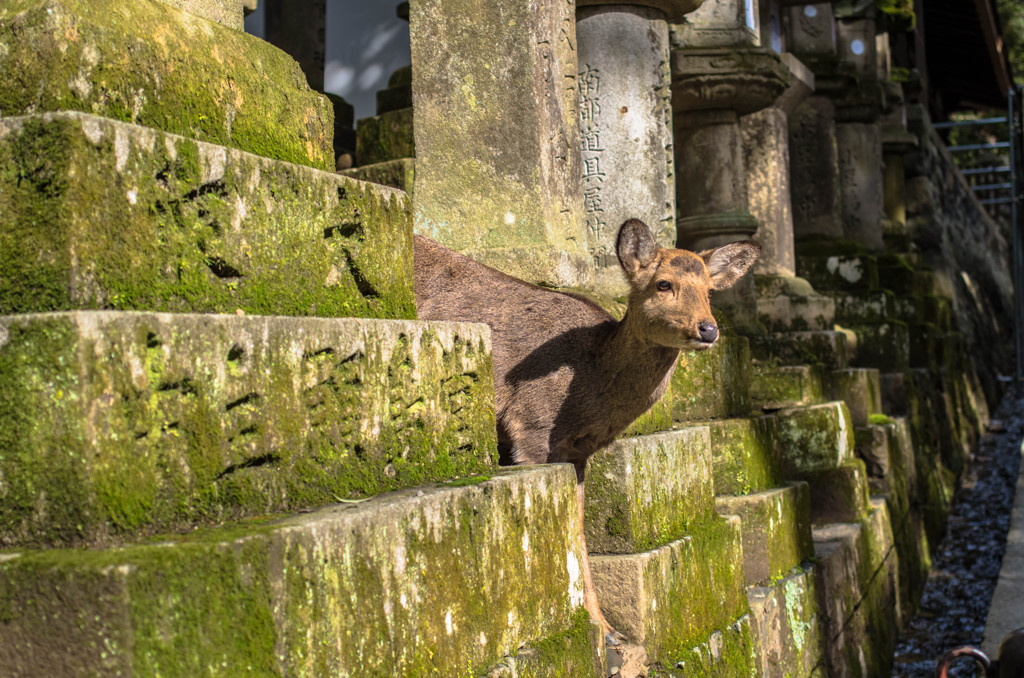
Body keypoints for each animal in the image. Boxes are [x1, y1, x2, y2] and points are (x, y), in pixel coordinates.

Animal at [411, 218, 757, 647]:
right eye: (663, 284)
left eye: (710, 291)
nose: (708, 329)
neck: (592, 386)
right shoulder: (531, 428)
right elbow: (563, 531)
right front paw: (592, 632)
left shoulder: (577, 453)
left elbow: (578, 530)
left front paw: (609, 632)